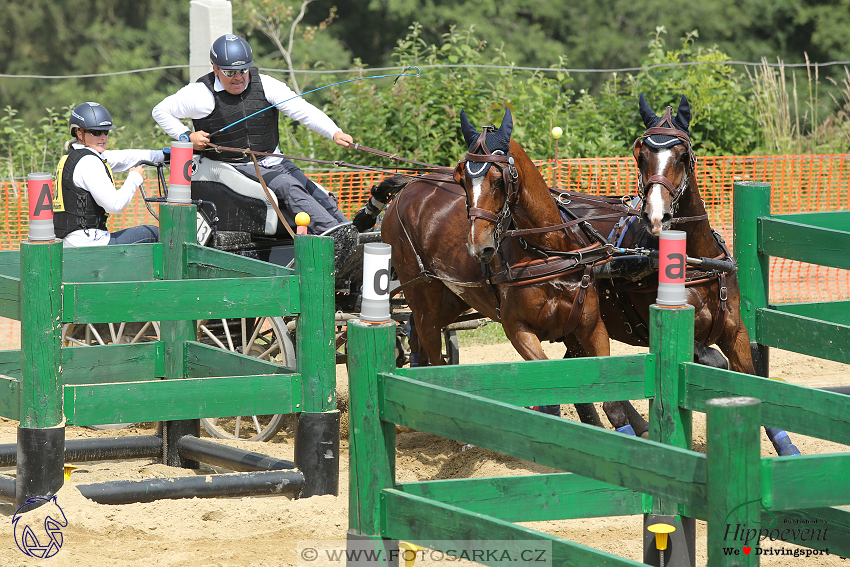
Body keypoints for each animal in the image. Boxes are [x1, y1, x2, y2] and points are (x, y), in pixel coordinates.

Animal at [384, 108, 636, 432]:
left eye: (498, 180)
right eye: (462, 180)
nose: (478, 247)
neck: (546, 249)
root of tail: (406, 189)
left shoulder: (591, 327)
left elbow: (613, 403)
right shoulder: (518, 330)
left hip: (452, 299)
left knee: (418, 334)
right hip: (421, 292)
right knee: (431, 347)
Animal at [552, 93, 800, 458]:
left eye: (682, 156)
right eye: (640, 155)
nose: (656, 214)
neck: (697, 261)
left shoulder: (736, 331)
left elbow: (750, 376)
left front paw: (785, 446)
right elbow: (715, 367)